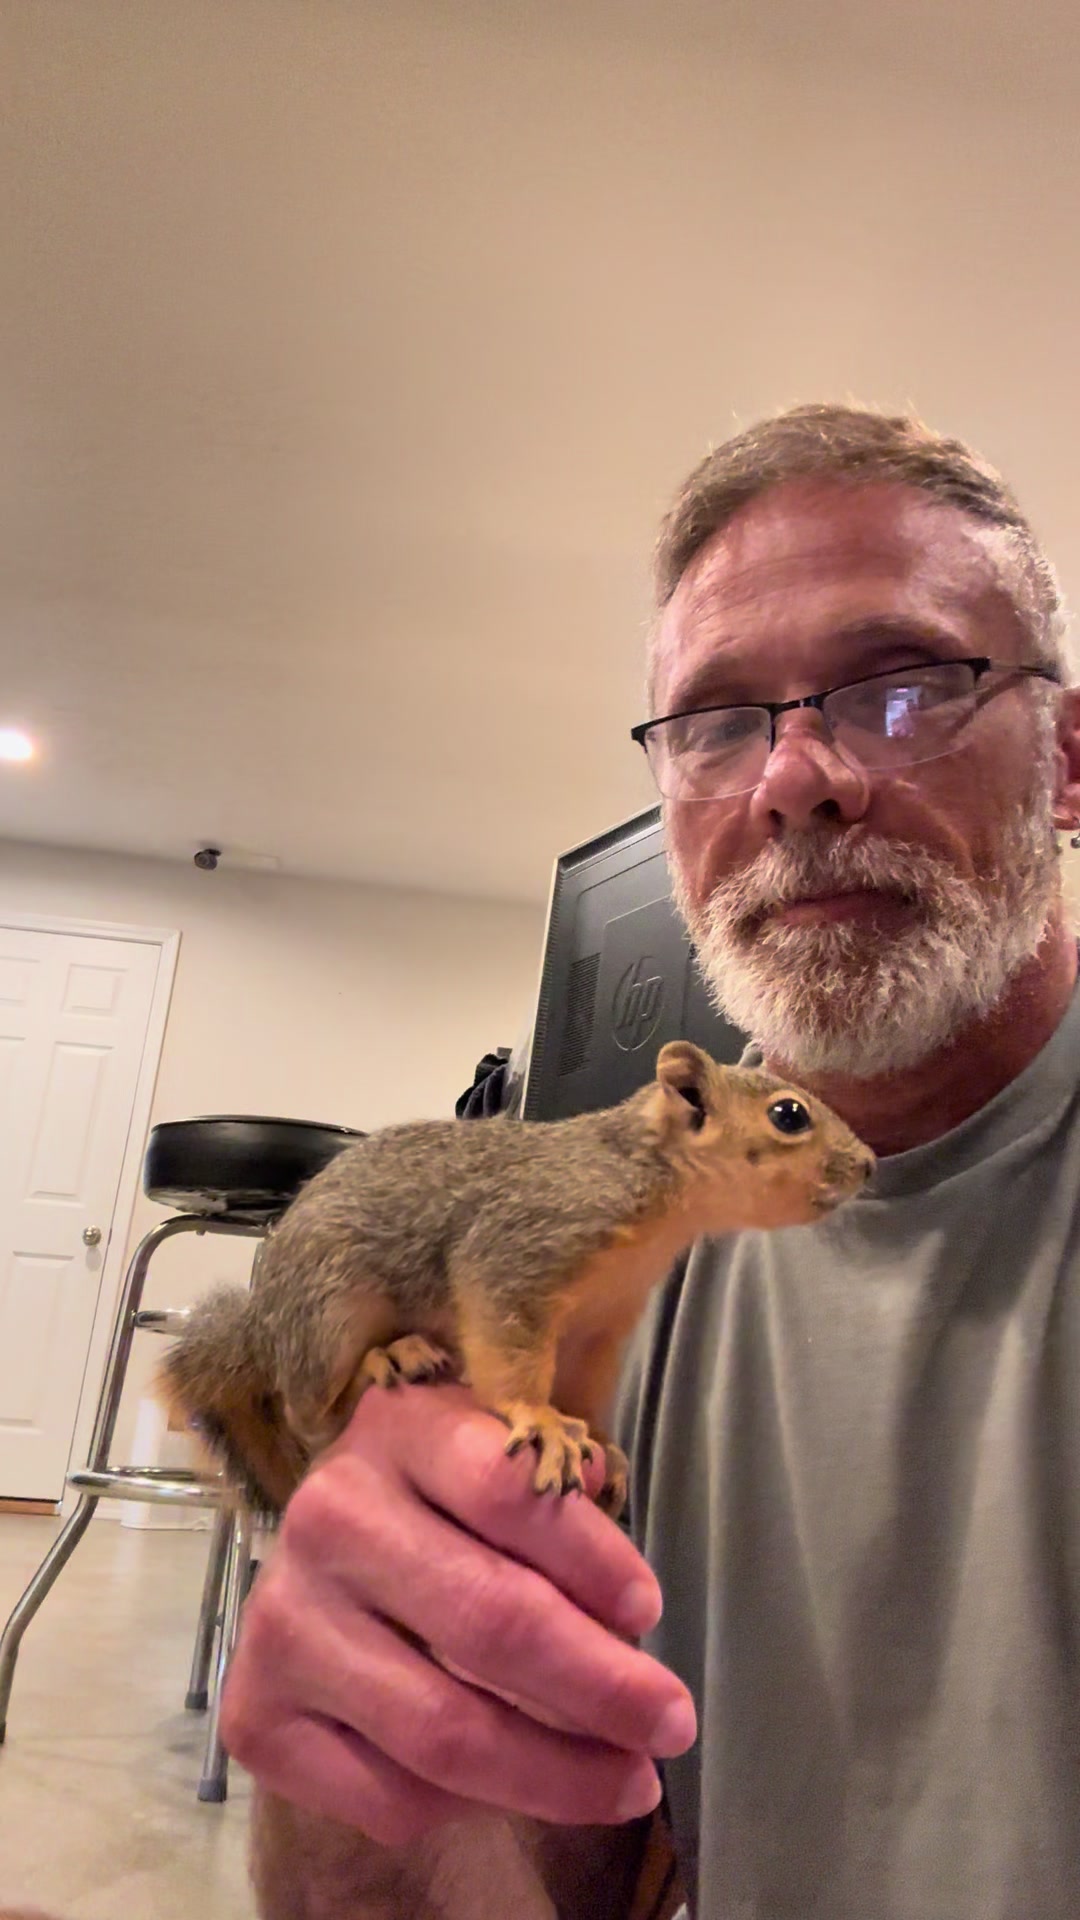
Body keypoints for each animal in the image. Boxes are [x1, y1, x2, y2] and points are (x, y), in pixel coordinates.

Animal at [157, 1041, 874, 1518]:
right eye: (789, 1114)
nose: (868, 1164)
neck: (651, 1188)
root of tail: (263, 1328)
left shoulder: (600, 1325)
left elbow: (585, 1387)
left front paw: (606, 1447)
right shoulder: (518, 1251)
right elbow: (508, 1349)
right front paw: (541, 1419)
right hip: (328, 1311)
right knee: (311, 1413)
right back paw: (389, 1358)